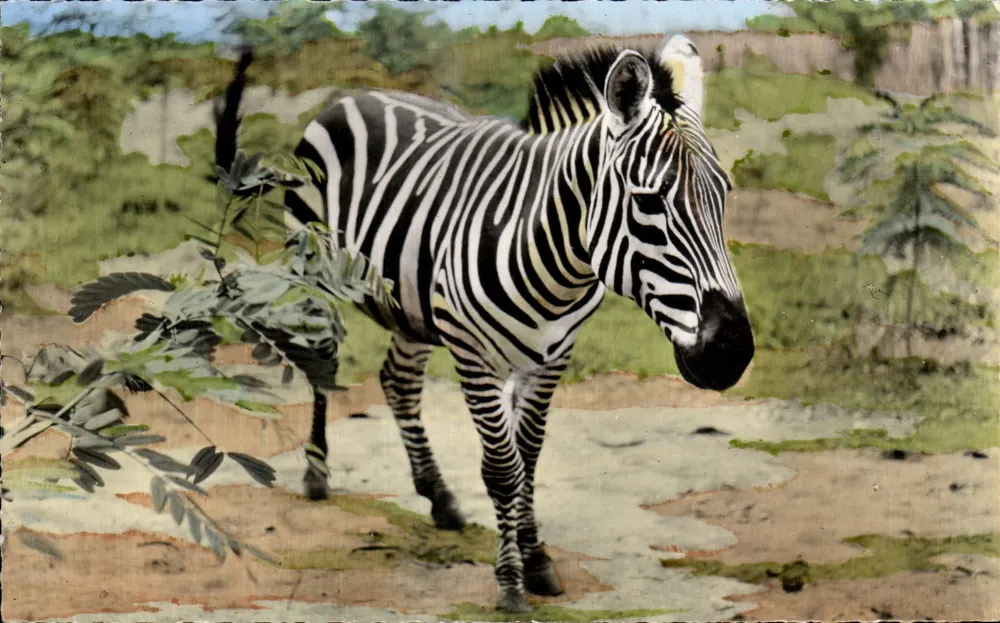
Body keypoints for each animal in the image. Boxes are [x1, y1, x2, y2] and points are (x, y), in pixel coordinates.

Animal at [215, 34, 754, 613]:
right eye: (649, 201)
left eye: (723, 195)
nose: (731, 351)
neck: (557, 263)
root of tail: (351, 96)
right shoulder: (474, 355)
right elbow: (502, 469)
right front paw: (511, 582)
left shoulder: (552, 354)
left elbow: (529, 459)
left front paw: (536, 558)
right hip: (317, 273)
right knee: (322, 363)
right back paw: (317, 475)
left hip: (410, 301)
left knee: (398, 382)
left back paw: (440, 498)